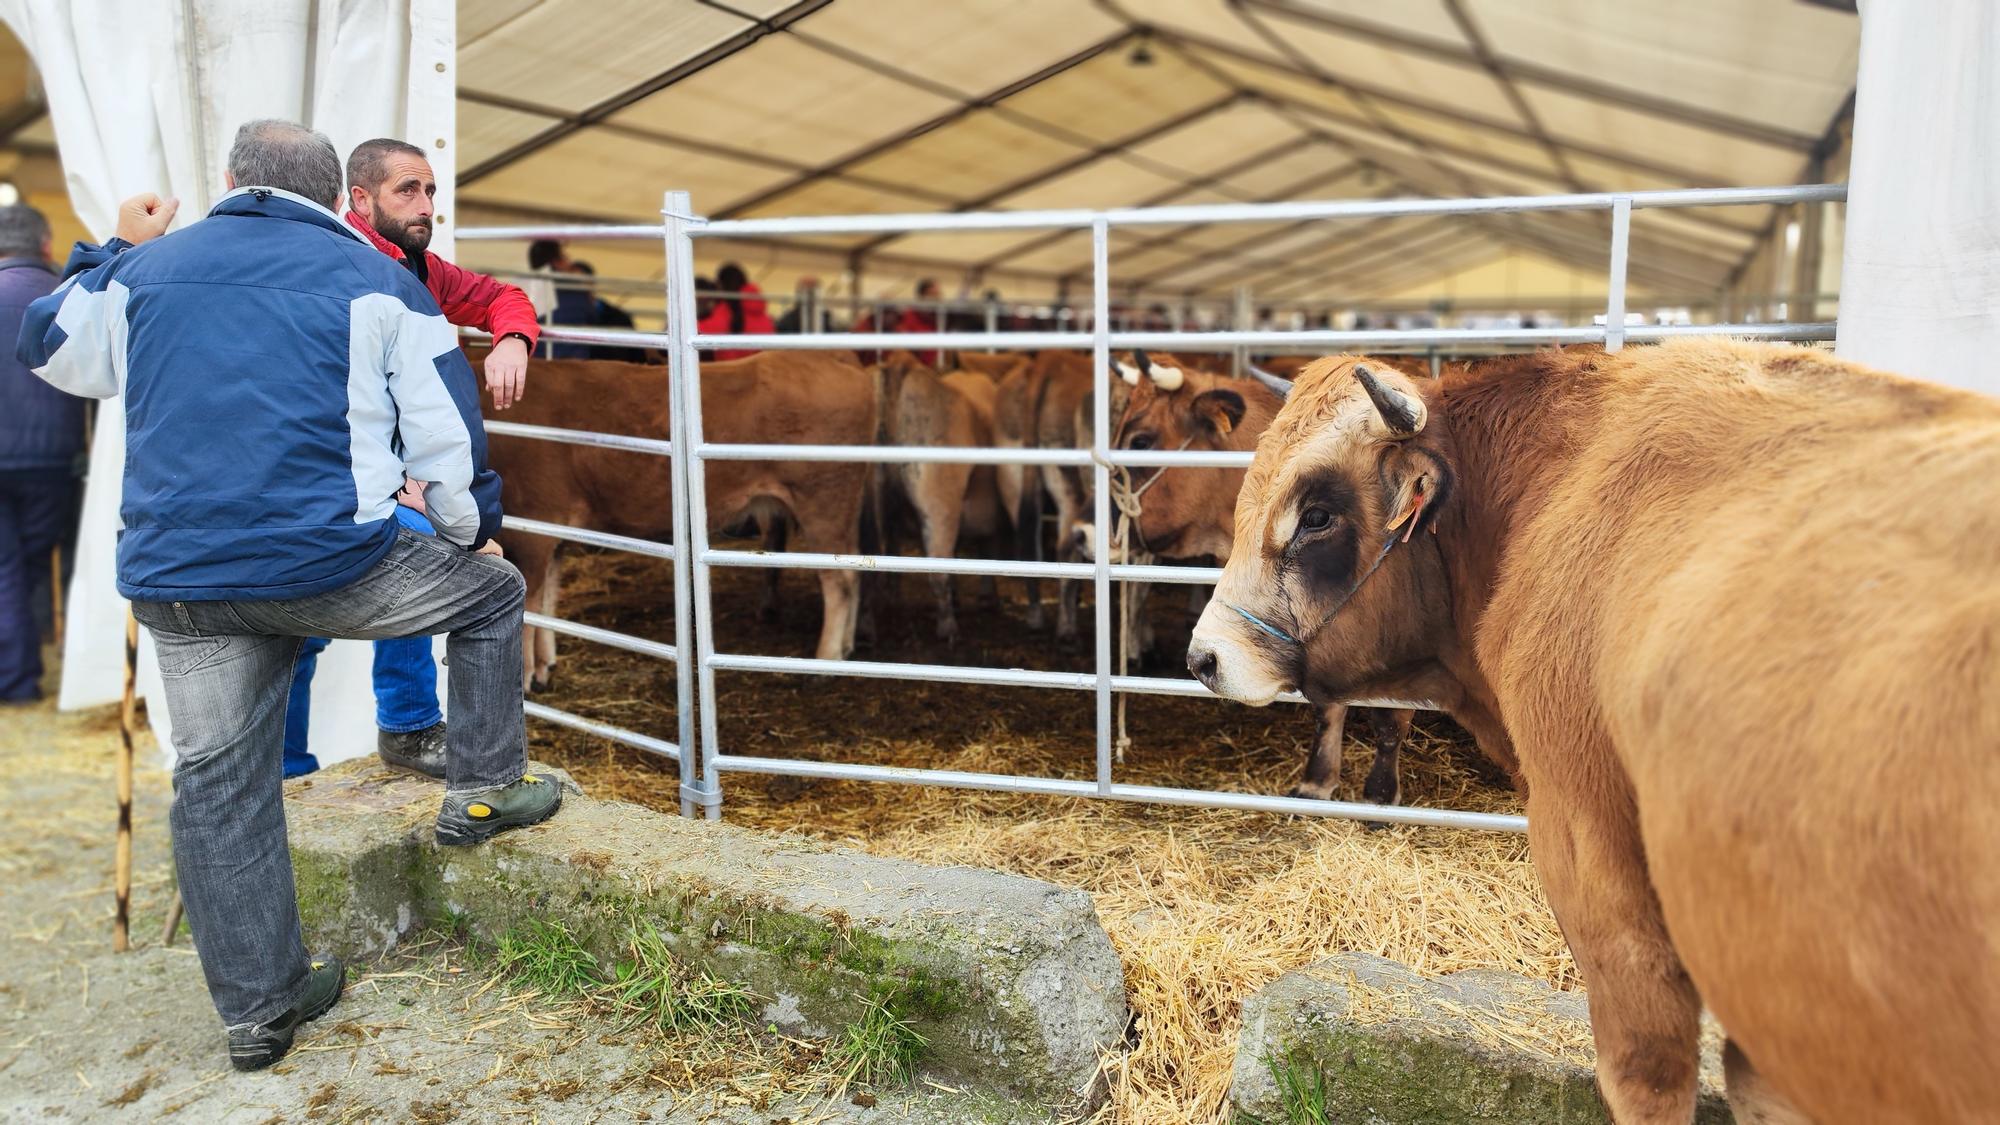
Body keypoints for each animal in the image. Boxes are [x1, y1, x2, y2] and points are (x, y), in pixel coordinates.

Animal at [488, 350, 872, 684]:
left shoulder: (531, 529)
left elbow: (530, 606)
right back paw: (846, 649)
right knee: (854, 573)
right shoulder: (554, 532)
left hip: (822, 502)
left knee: (838, 582)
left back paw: (825, 662)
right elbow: (548, 600)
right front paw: (545, 665)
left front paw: (526, 676)